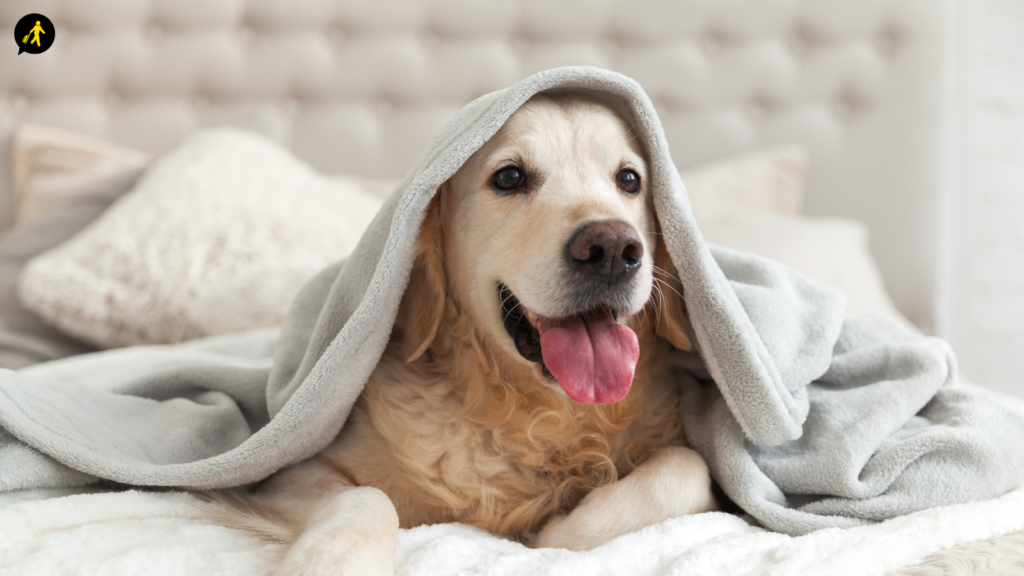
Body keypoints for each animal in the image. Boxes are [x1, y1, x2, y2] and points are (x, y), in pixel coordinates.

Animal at [208, 91, 720, 569]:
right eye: (510, 177)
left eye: (629, 180)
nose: (612, 248)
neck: (537, 414)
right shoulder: (285, 475)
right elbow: (367, 496)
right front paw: (330, 561)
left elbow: (689, 465)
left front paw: (560, 530)